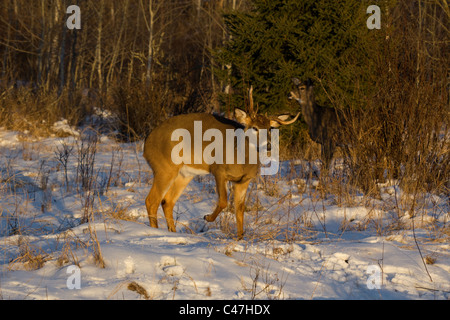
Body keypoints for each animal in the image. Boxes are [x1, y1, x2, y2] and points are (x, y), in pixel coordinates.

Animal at [143, 89, 298, 239]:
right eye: (254, 127)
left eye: (270, 128)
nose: (269, 145)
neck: (241, 157)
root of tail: (147, 143)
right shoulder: (219, 170)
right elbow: (223, 201)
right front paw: (207, 217)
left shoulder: (244, 180)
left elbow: (239, 208)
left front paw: (240, 238)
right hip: (165, 167)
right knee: (152, 200)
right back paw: (155, 231)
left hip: (185, 173)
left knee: (167, 201)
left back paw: (173, 232)